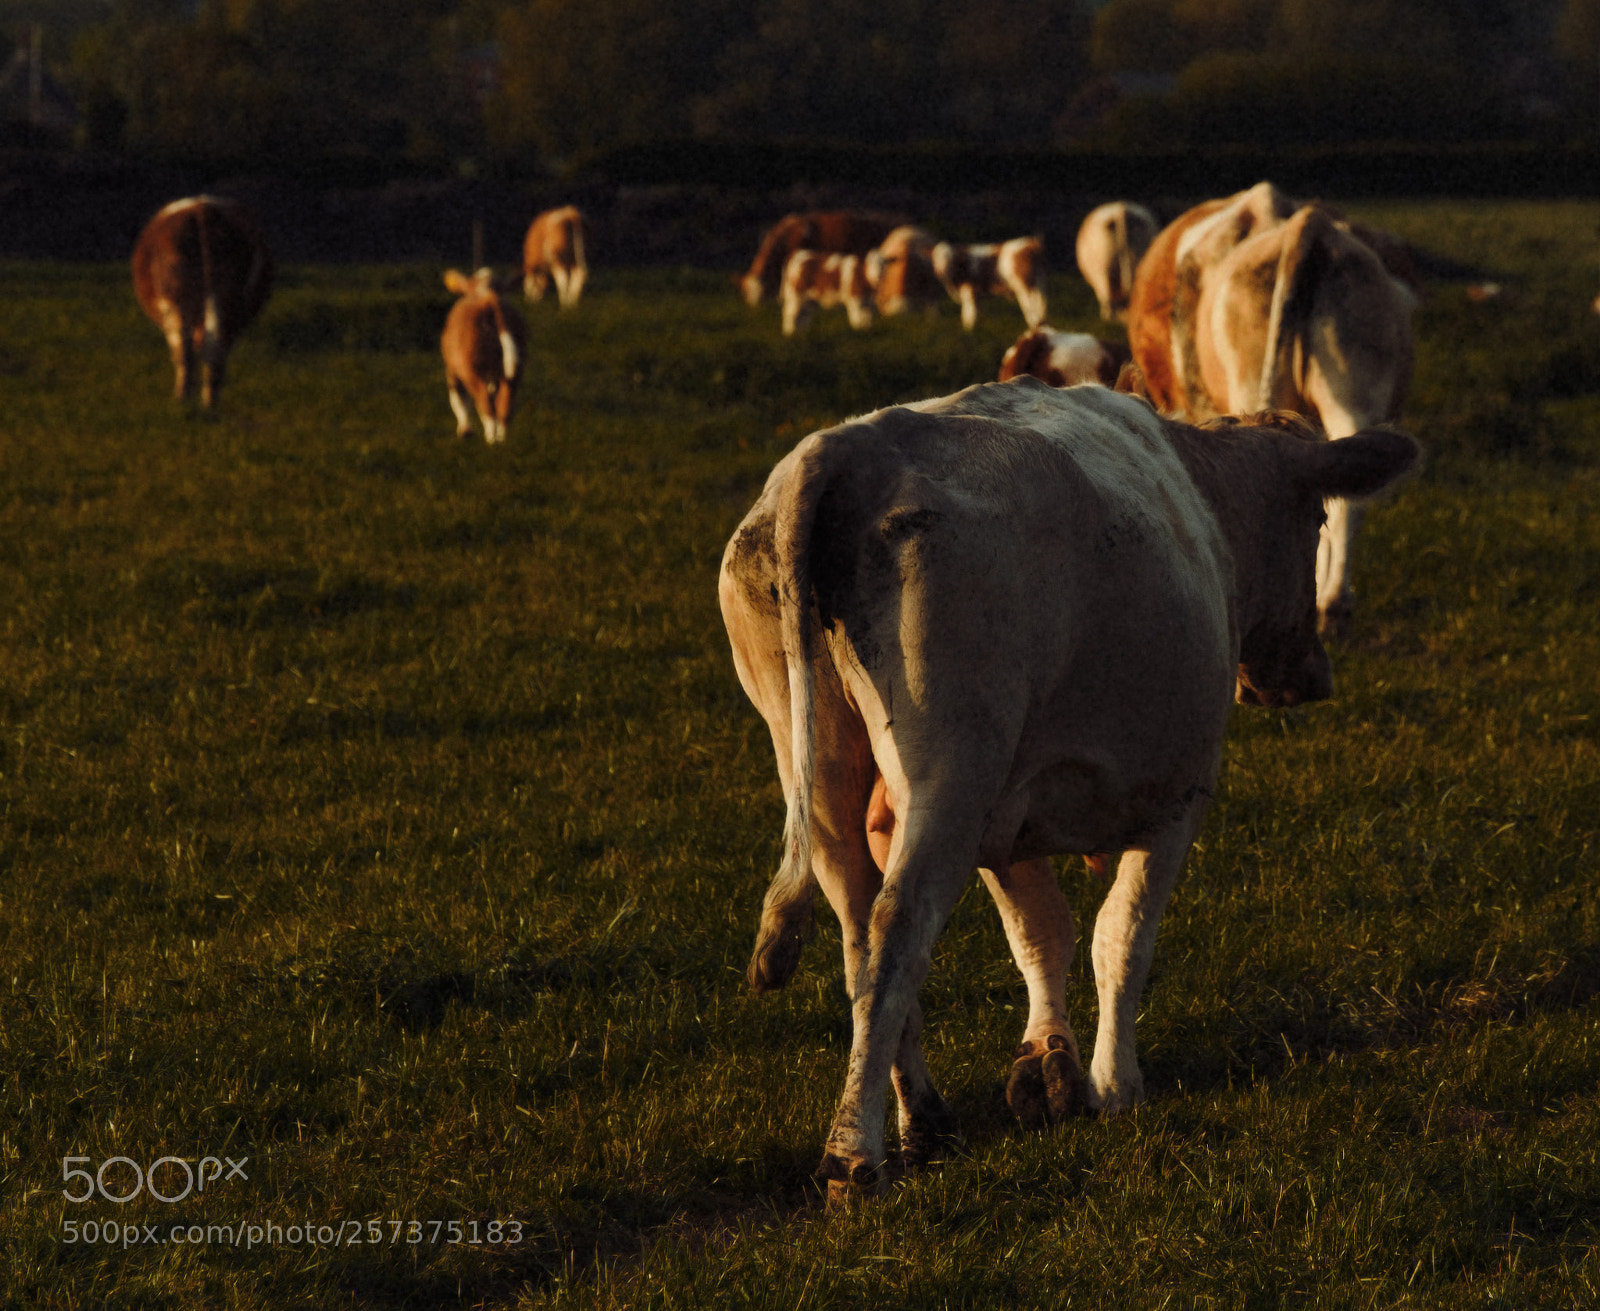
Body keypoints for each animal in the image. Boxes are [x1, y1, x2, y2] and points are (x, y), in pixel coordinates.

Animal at [131, 196, 272, 409]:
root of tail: (202, 209)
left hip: (176, 300)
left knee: (185, 350)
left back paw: (182, 401)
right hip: (226, 299)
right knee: (215, 348)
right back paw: (209, 404)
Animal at [441, 268, 527, 445]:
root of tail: (490, 299)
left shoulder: (452, 369)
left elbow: (458, 399)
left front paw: (465, 430)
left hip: (472, 370)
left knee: (484, 402)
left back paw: (491, 439)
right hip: (515, 371)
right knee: (504, 405)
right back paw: (501, 439)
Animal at [720, 377, 1418, 1200]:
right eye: (1316, 518)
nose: (1312, 676)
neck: (1203, 494)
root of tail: (847, 448)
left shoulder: (1009, 811)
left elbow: (1039, 931)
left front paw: (1049, 1061)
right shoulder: (1176, 796)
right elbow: (1122, 934)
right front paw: (1115, 1084)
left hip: (821, 767)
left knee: (860, 935)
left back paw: (924, 1116)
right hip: (952, 769)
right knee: (897, 929)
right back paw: (856, 1154)